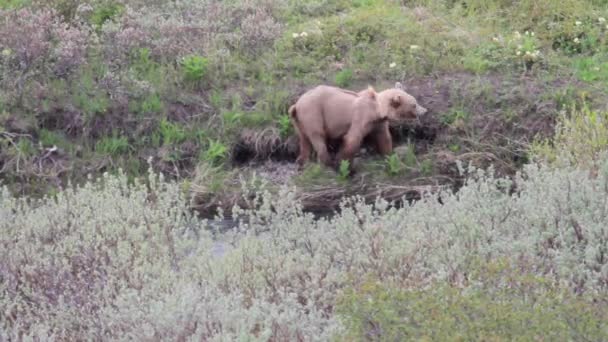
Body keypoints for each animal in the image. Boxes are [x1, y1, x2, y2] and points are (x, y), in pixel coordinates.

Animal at [288, 81, 426, 170]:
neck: (376, 110)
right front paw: (342, 162)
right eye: (414, 104)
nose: (424, 110)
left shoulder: (378, 123)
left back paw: (301, 161)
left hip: (299, 122)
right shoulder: (361, 117)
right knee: (318, 137)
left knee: (304, 140)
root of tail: (296, 105)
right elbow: (353, 138)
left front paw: (389, 155)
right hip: (313, 114)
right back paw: (327, 162)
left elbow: (384, 138)